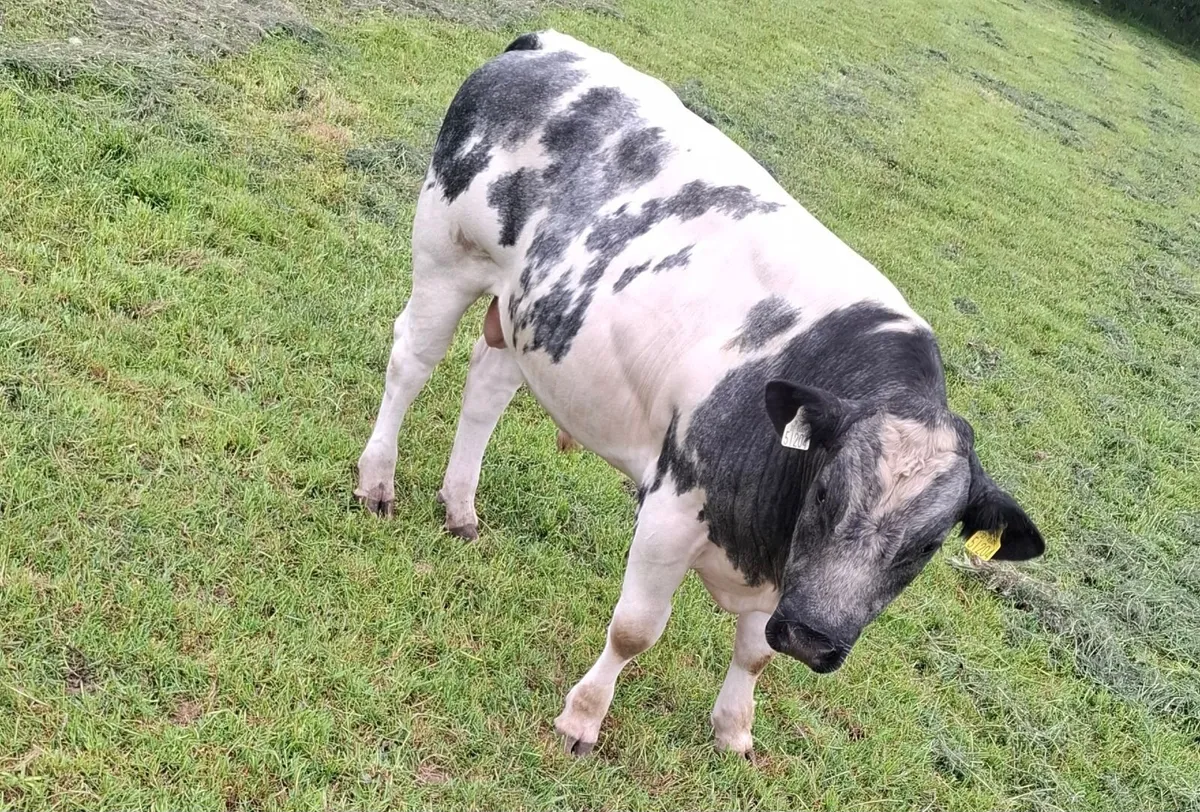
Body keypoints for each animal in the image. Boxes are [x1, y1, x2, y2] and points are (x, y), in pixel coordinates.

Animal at [354, 31, 1045, 757]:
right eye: (826, 493)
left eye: (928, 546)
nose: (812, 637)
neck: (761, 548)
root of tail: (547, 45)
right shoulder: (673, 502)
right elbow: (635, 628)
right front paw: (582, 718)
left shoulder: (783, 575)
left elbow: (756, 653)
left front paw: (734, 730)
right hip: (447, 255)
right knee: (412, 360)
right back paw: (376, 481)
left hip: (530, 313)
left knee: (485, 386)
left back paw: (460, 507)